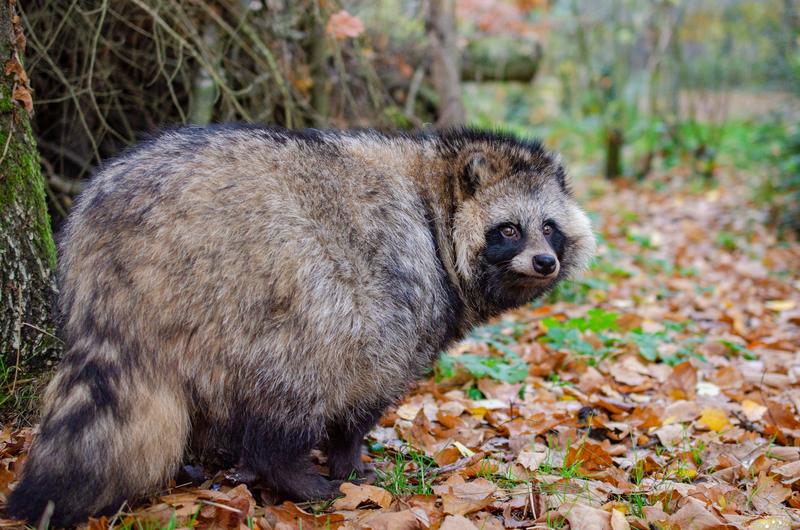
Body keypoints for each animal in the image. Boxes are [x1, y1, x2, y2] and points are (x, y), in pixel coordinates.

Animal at [6, 127, 592, 524]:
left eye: (549, 229)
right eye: (509, 230)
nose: (545, 262)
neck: (436, 198)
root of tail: (113, 243)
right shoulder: (404, 289)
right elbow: (370, 380)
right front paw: (347, 456)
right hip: (261, 280)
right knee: (299, 374)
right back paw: (287, 469)